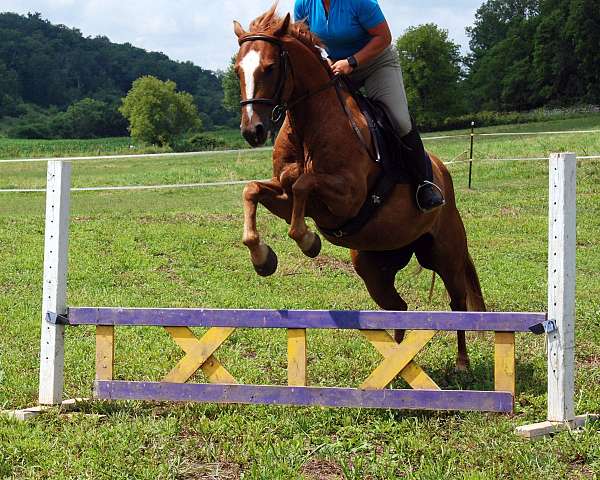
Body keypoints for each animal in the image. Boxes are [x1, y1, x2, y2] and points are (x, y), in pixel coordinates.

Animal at [232, 5, 486, 370]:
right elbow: (253, 190)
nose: (252, 131)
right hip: (373, 266)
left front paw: (308, 241)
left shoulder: (346, 198)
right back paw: (396, 366)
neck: (308, 127)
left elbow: (304, 186)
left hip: (446, 254)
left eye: (269, 67)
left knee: (457, 303)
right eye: (238, 69)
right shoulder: (283, 194)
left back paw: (462, 362)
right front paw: (262, 258)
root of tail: (443, 176)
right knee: (398, 308)